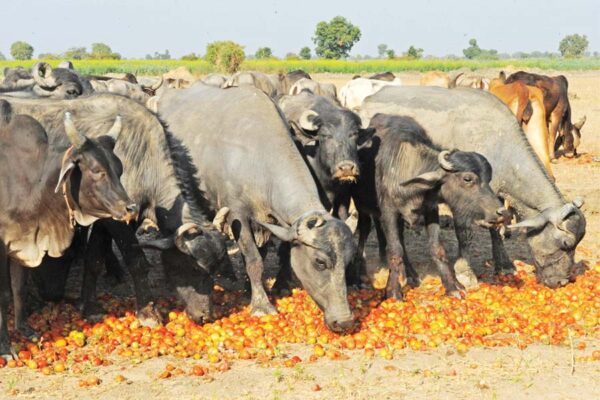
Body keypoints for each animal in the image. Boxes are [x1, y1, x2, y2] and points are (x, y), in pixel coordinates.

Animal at [354, 114, 508, 298]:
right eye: (467, 178)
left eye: (488, 179)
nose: (502, 212)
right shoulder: (389, 212)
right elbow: (395, 250)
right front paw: (393, 291)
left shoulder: (430, 210)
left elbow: (437, 248)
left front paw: (452, 286)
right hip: (362, 206)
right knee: (365, 229)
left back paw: (410, 274)